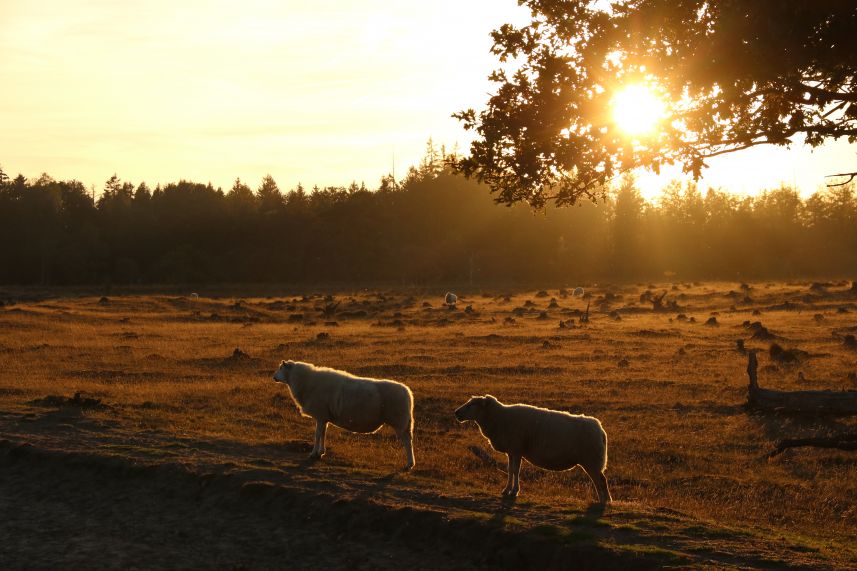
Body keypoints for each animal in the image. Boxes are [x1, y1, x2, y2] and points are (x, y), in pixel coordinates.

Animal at [270, 362, 412, 470]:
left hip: (399, 421)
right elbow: (323, 434)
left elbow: (317, 435)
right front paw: (321, 452)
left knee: (407, 442)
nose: (274, 377)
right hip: (404, 422)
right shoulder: (324, 417)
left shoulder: (320, 415)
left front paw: (313, 453)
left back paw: (409, 464)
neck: (305, 381)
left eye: (281, 368)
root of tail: (407, 392)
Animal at [454, 396, 608, 502]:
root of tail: (600, 430)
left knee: (601, 481)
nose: (456, 413)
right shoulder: (512, 451)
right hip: (591, 461)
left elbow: (515, 471)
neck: (499, 418)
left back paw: (604, 501)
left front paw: (514, 491)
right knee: (598, 481)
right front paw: (507, 490)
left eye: (471, 405)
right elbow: (510, 470)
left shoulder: (516, 449)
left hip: (592, 460)